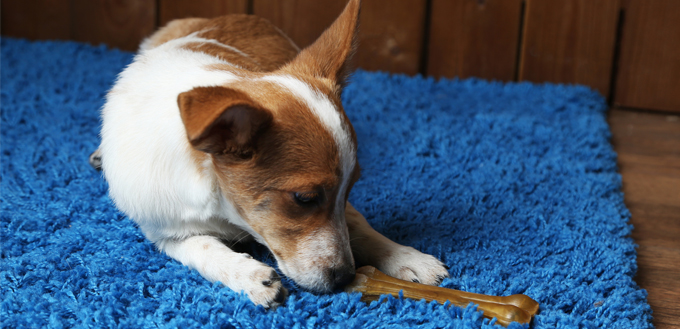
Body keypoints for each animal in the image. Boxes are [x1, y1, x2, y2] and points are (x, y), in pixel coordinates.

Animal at [94, 0, 446, 308]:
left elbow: (357, 224)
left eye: (351, 189)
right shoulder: (164, 233)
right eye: (304, 199)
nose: (346, 277)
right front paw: (248, 275)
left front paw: (406, 257)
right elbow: (203, 246)